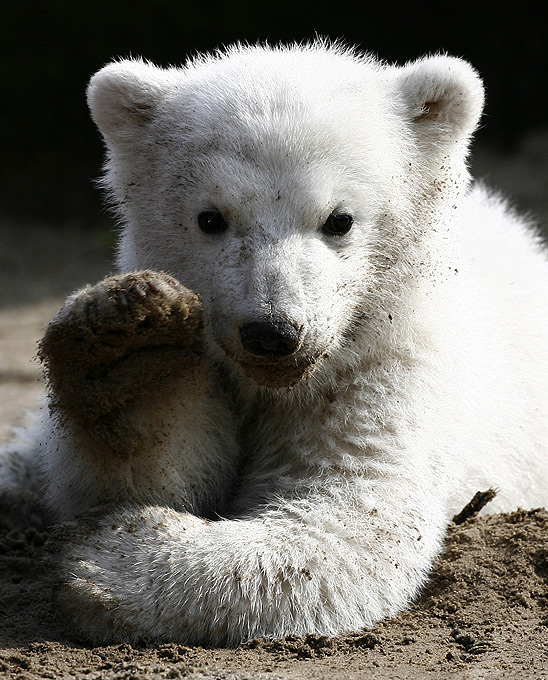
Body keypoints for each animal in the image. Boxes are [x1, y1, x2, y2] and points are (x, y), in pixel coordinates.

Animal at [3, 39, 548, 644]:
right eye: (210, 218)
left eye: (340, 219)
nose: (272, 333)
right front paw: (127, 357)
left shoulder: (387, 370)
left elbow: (352, 517)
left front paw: (107, 557)